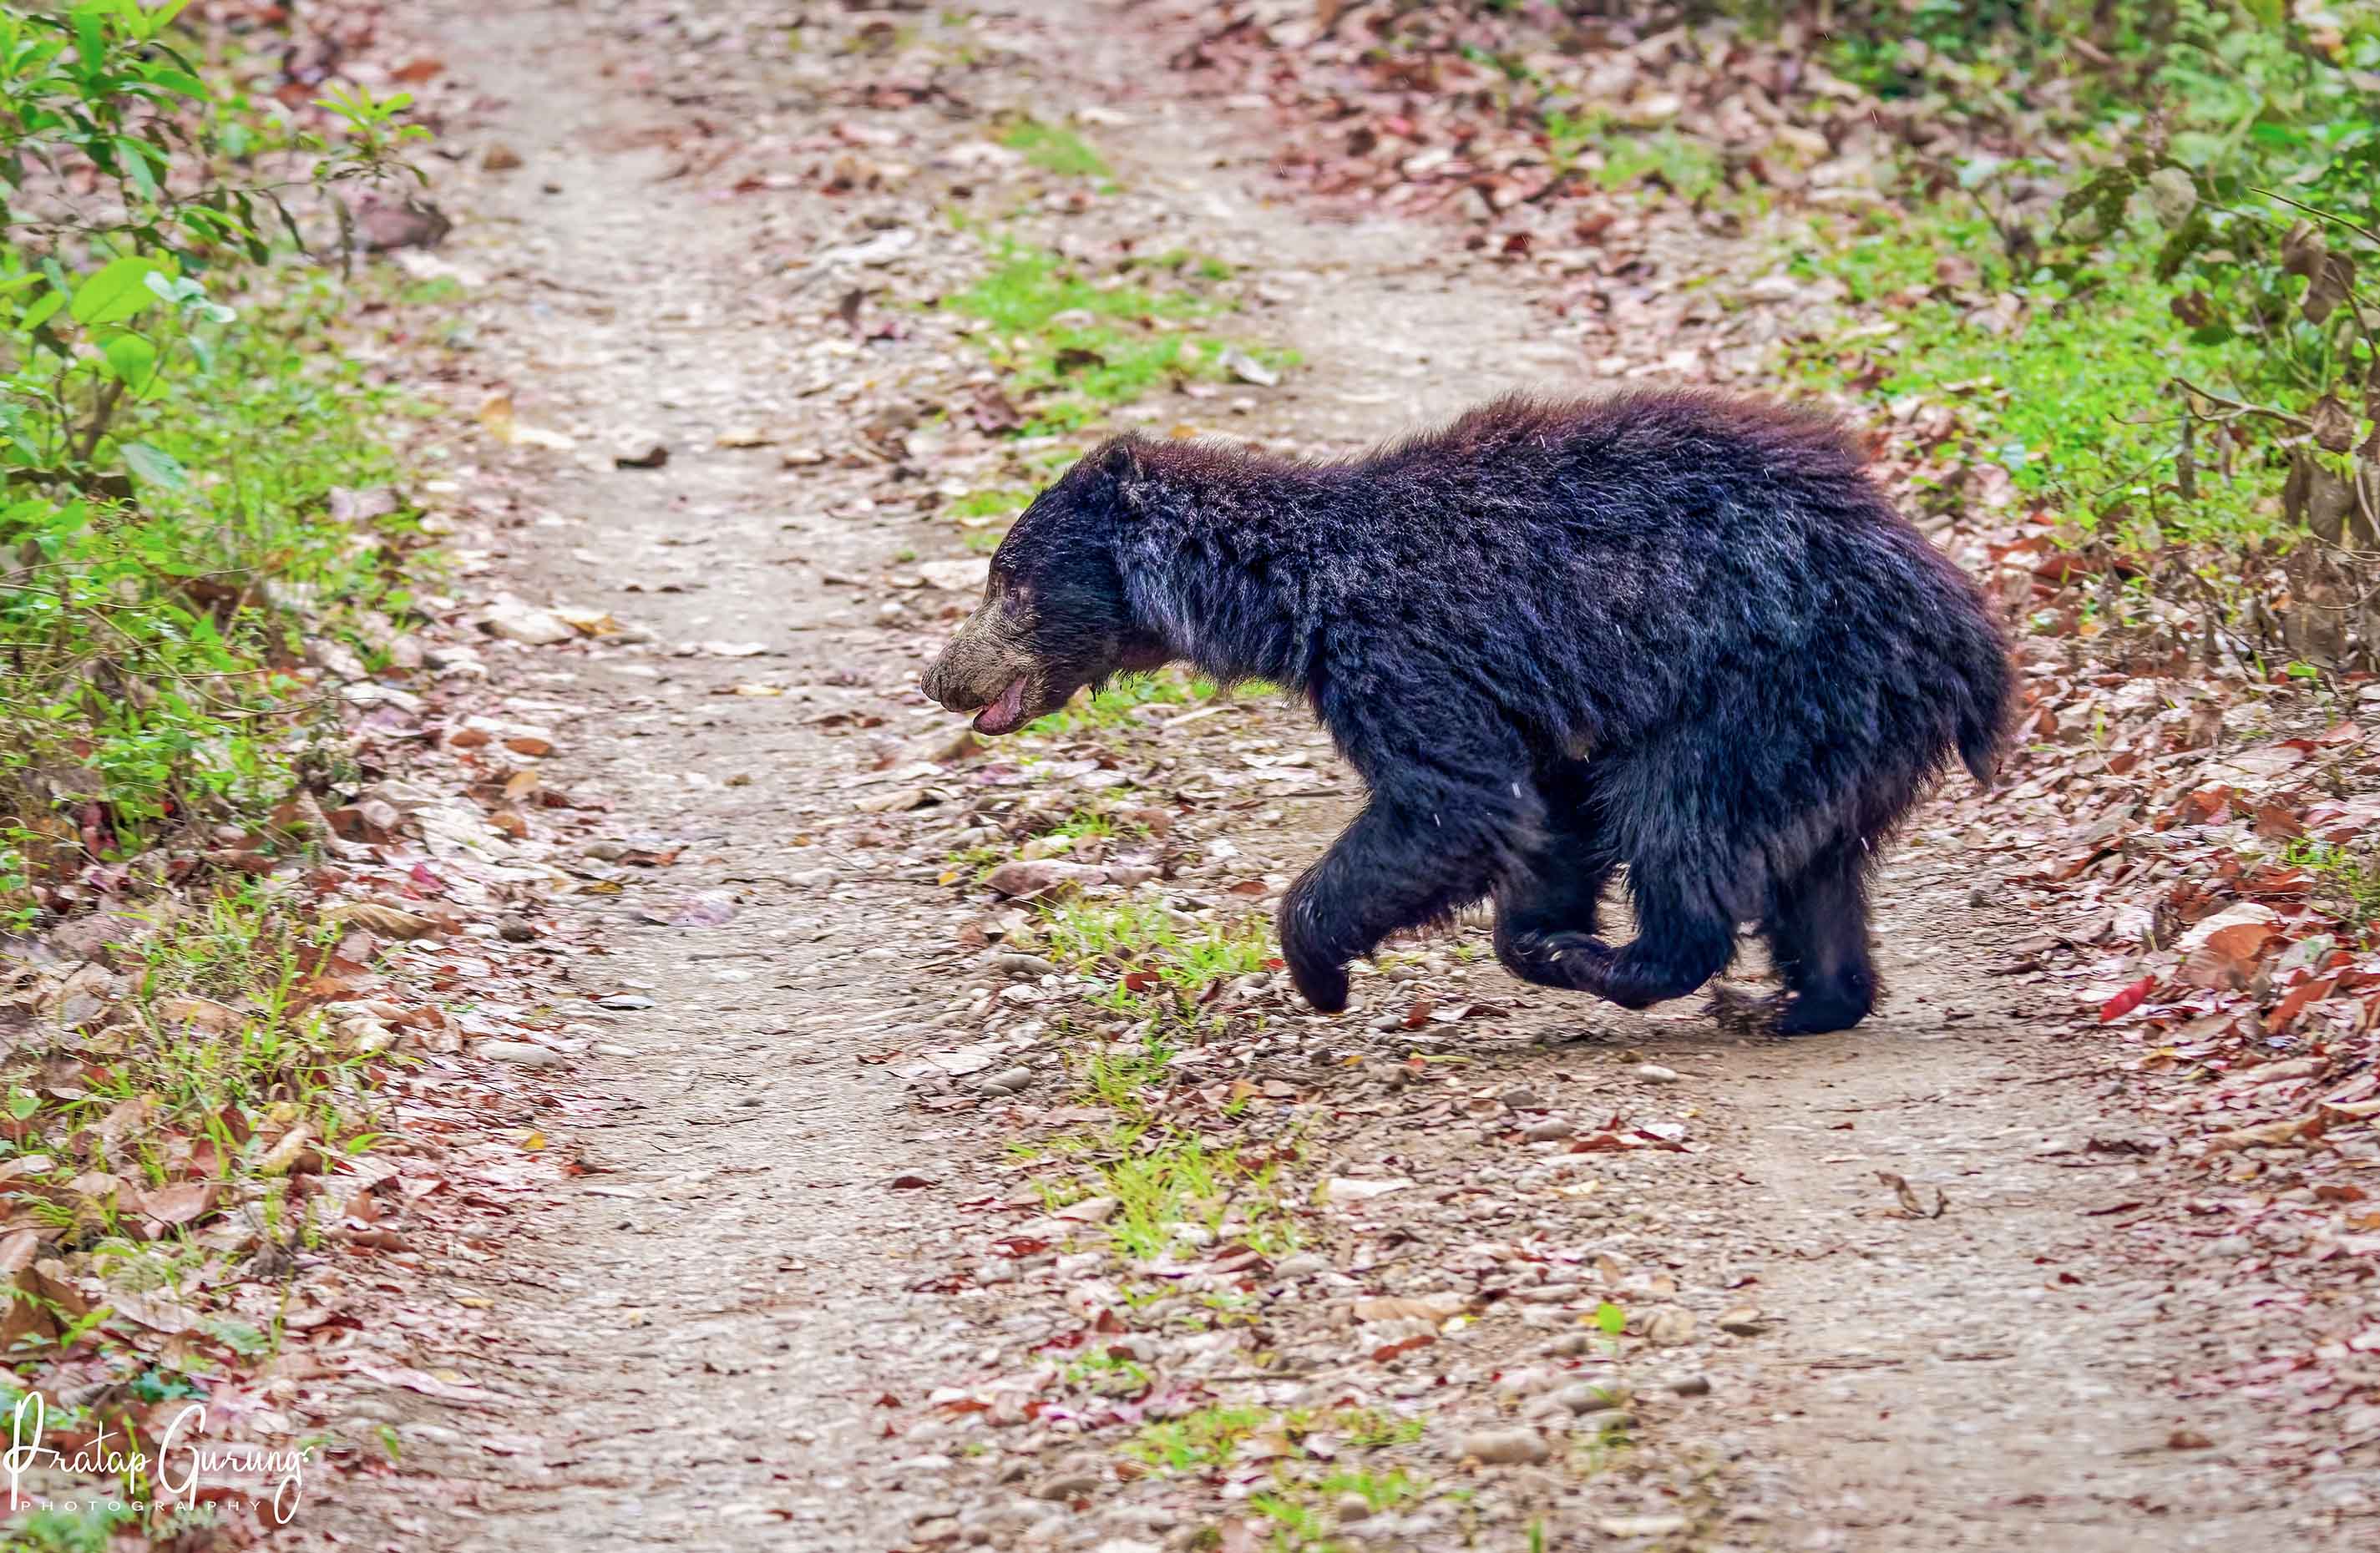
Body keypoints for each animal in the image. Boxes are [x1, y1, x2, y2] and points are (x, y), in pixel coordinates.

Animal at [920, 391, 2014, 1035]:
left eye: (1006, 580)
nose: (940, 678)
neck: (1288, 599)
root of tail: (1968, 635)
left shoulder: (1400, 652)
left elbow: (1452, 802)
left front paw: (1320, 967)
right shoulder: (1524, 702)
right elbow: (1545, 806)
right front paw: (1530, 930)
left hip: (1761, 692)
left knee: (1680, 819)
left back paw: (1640, 964)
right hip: (1838, 729)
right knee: (1816, 871)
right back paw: (1806, 999)